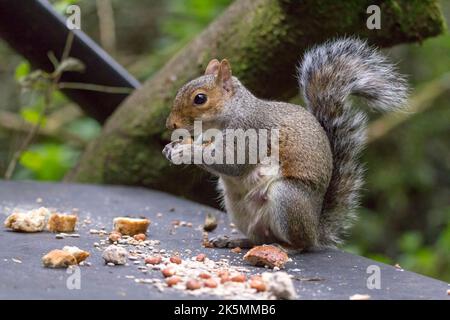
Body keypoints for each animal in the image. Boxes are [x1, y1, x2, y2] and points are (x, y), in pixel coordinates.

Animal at [162, 38, 408, 250]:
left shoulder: (250, 131)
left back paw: (286, 247)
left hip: (287, 197)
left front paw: (185, 151)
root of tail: (315, 230)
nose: (170, 124)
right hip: (236, 206)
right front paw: (171, 148)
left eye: (200, 98)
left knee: (299, 243)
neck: (229, 115)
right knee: (259, 238)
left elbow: (231, 163)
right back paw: (236, 240)